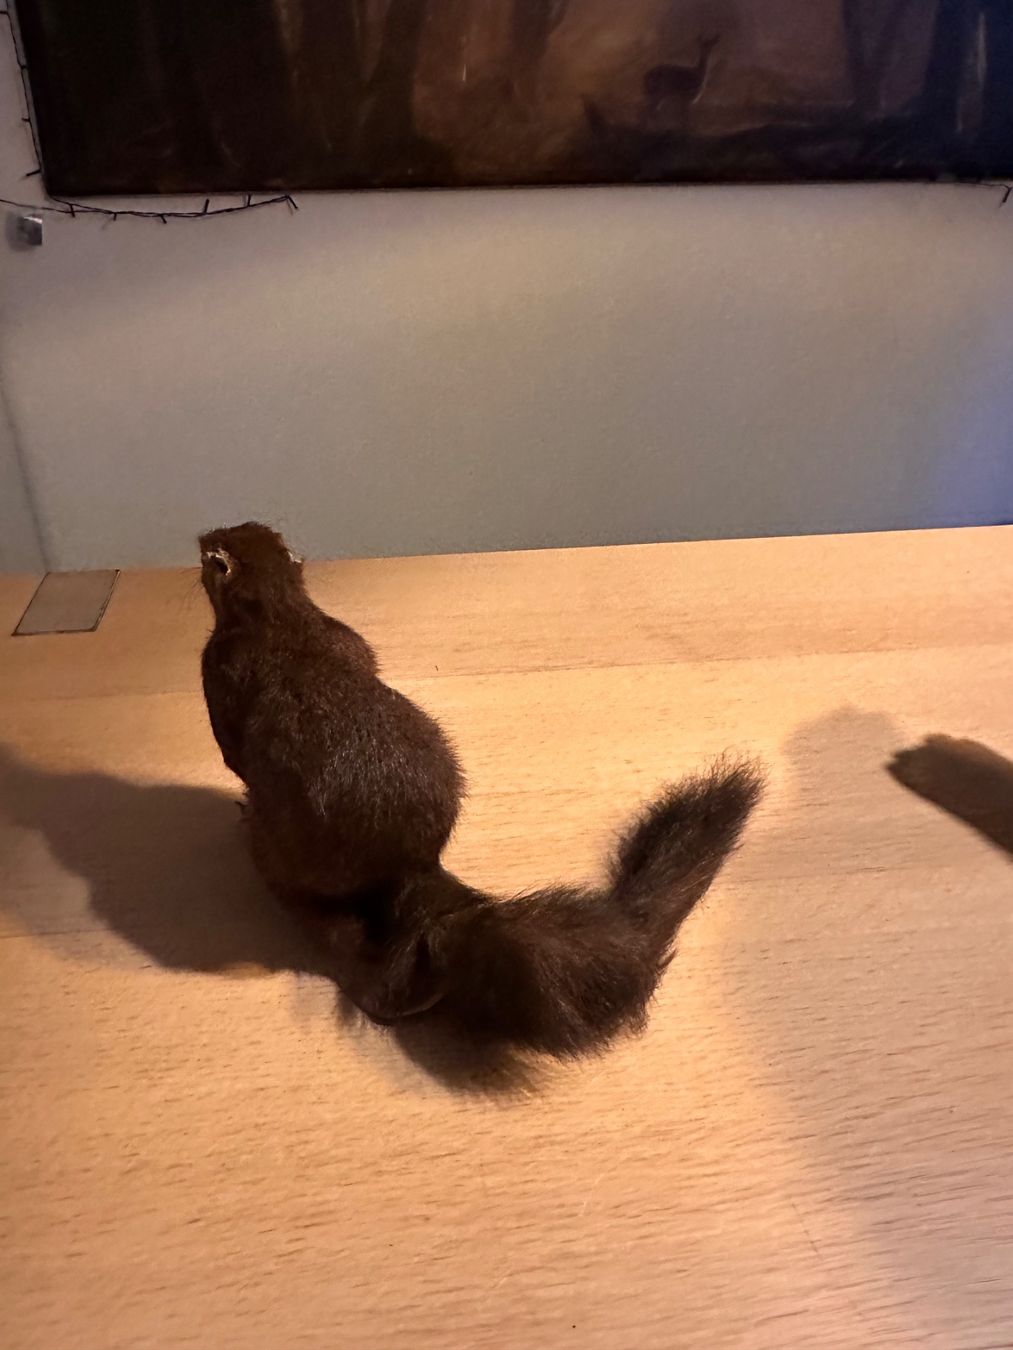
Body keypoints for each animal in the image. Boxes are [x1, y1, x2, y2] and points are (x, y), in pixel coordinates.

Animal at [199, 522, 762, 1057]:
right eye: (249, 526)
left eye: (212, 553)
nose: (204, 535)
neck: (283, 618)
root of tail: (412, 874)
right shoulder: (345, 637)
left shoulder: (219, 672)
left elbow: (231, 749)